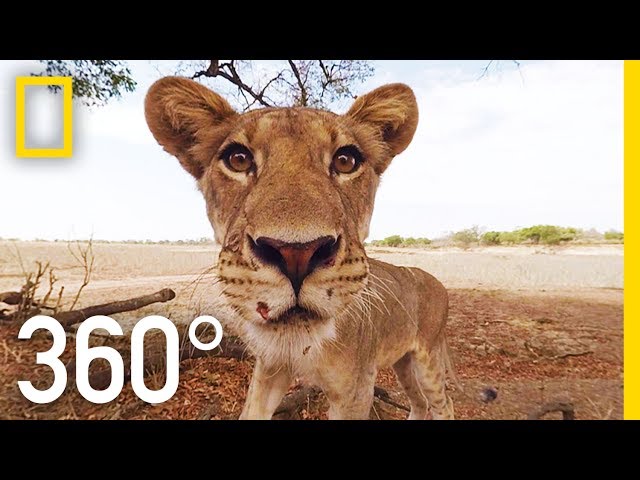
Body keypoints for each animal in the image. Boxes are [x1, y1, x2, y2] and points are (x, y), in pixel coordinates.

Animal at [144, 77, 454, 420]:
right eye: (238, 159)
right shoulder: (270, 369)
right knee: (420, 402)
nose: (296, 254)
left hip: (427, 358)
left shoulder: (357, 391)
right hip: (402, 362)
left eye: (346, 161)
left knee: (443, 403)